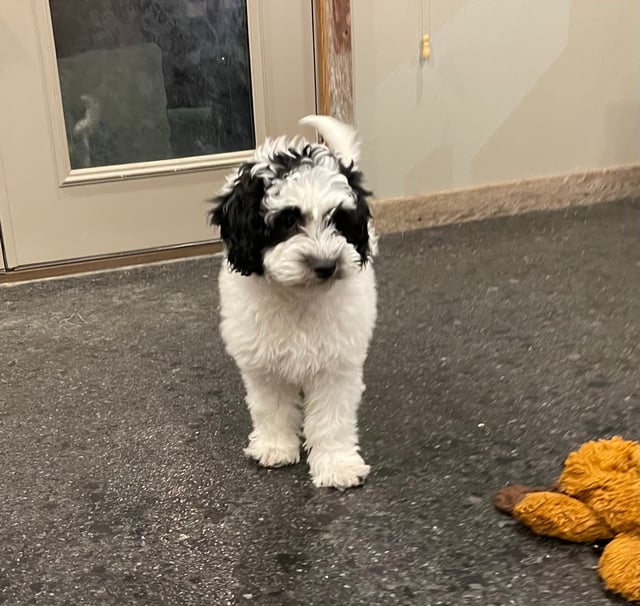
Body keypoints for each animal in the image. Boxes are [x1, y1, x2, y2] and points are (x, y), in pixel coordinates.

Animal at [212, 117, 378, 490]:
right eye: (287, 220)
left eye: (339, 221)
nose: (326, 265)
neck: (299, 295)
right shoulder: (263, 364)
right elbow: (271, 407)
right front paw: (274, 447)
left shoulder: (336, 364)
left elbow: (332, 417)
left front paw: (336, 464)